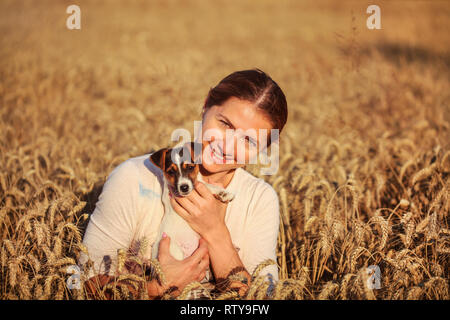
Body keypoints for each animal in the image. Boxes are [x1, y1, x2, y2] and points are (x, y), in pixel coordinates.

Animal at [150, 142, 236, 282]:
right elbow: (203, 185)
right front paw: (223, 192)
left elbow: (200, 183)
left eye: (190, 167)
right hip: (175, 251)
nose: (184, 187)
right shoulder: (173, 193)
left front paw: (222, 193)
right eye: (171, 172)